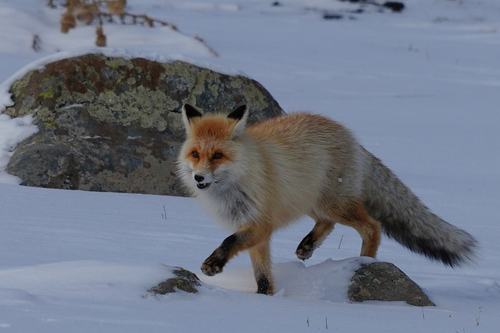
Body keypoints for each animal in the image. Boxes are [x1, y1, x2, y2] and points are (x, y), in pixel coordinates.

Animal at [177, 103, 476, 294]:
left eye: (217, 155)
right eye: (195, 154)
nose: (199, 178)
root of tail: (351, 137)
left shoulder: (260, 224)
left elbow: (229, 242)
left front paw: (213, 265)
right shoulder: (254, 229)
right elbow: (262, 275)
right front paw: (266, 298)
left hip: (334, 204)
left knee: (372, 226)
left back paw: (364, 264)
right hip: (311, 202)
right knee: (327, 224)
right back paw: (307, 246)